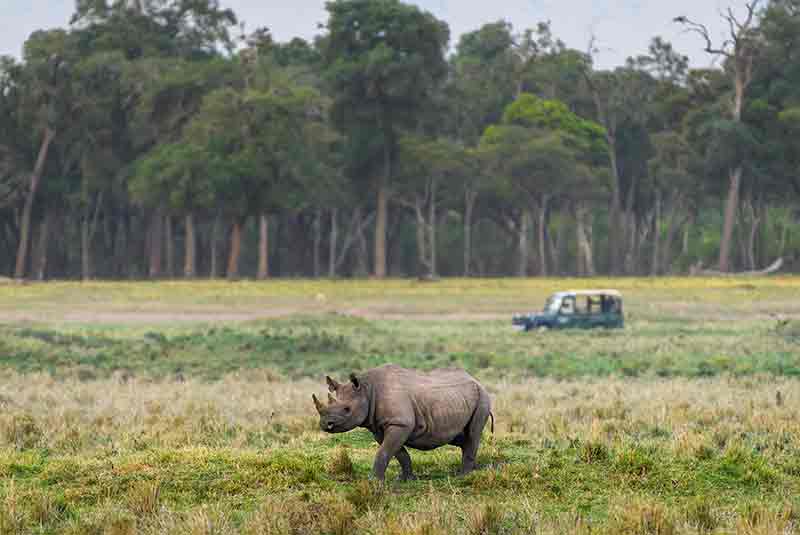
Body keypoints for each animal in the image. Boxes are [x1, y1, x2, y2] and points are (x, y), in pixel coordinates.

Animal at [312, 364, 493, 482]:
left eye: (347, 409)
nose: (326, 424)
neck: (367, 389)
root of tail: (476, 379)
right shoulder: (380, 427)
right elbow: (399, 453)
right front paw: (406, 479)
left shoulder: (400, 423)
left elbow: (384, 452)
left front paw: (373, 481)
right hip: (460, 398)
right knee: (460, 437)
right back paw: (473, 470)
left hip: (483, 398)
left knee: (473, 434)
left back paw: (464, 476)